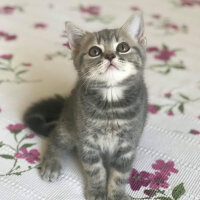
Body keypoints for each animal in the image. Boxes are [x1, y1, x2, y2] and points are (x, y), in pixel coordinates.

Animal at [23, 12, 148, 200]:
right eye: (94, 51)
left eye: (123, 47)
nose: (110, 56)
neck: (110, 102)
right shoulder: (86, 141)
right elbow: (95, 170)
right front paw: (96, 191)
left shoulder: (128, 144)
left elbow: (120, 174)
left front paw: (117, 194)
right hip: (67, 126)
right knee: (55, 139)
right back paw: (52, 163)